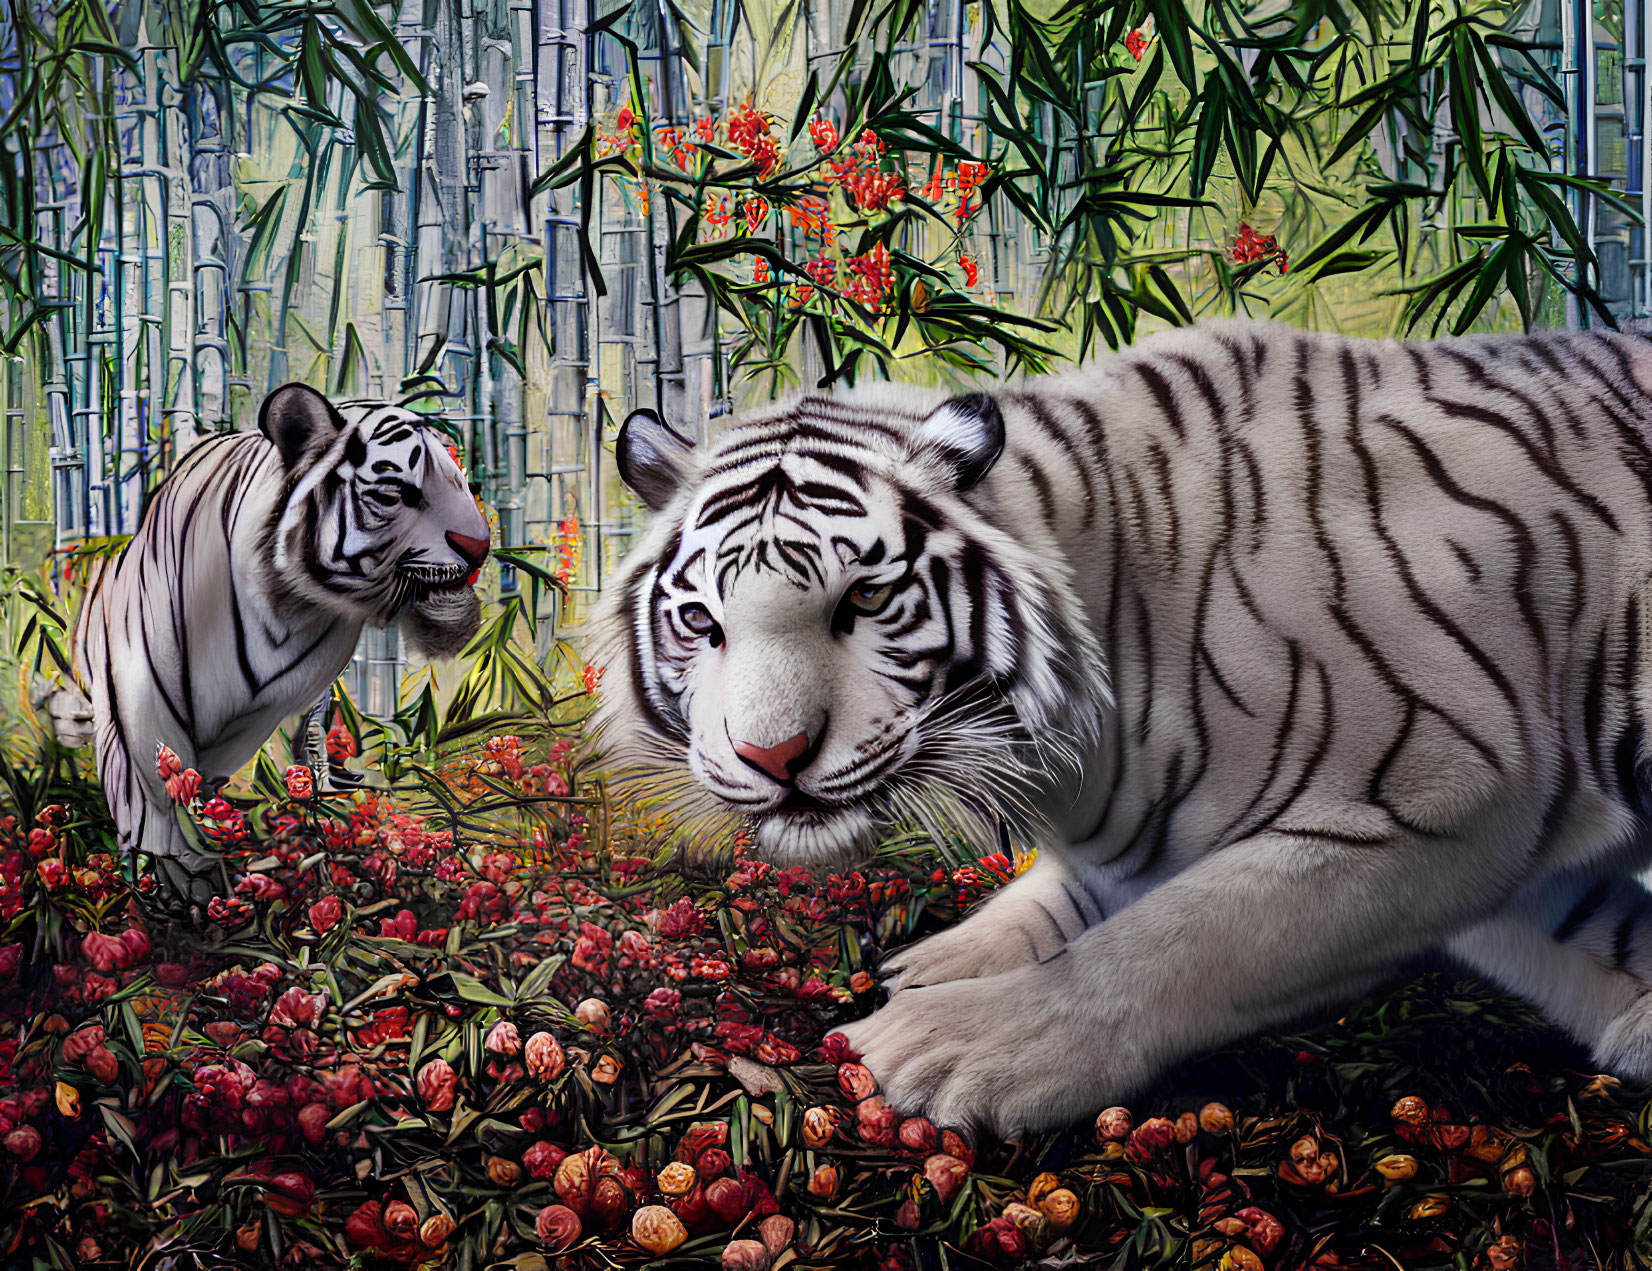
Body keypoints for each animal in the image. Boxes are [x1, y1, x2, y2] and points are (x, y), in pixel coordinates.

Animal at [75, 381, 488, 899]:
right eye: (395, 493)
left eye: (462, 481)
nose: (482, 548)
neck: (288, 607)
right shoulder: (141, 695)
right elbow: (155, 793)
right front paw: (178, 875)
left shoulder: (291, 698)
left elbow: (295, 746)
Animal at [591, 322, 1652, 1137]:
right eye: (702, 621)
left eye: (868, 598)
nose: (772, 757)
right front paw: (931, 965)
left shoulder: (1451, 786)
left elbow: (1183, 937)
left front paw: (947, 1043)